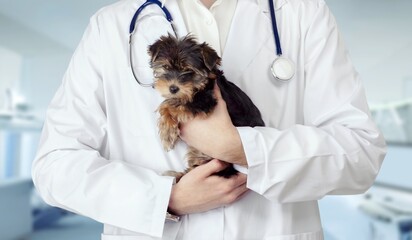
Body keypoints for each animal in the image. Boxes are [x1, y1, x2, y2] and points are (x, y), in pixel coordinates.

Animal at [148, 33, 264, 180]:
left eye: (189, 71)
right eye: (166, 67)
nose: (173, 88)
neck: (200, 84)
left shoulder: (205, 101)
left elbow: (168, 105)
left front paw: (167, 133)